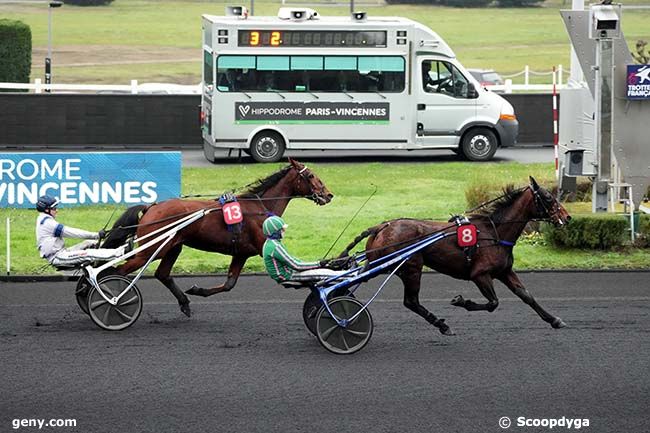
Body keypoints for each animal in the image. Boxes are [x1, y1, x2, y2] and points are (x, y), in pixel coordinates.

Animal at [103, 159, 332, 314]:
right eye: (310, 176)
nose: (328, 194)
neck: (260, 208)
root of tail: (152, 206)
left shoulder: (241, 253)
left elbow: (229, 284)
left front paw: (197, 290)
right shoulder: (263, 246)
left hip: (173, 246)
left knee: (162, 274)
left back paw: (184, 302)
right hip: (152, 248)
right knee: (118, 271)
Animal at [336, 177, 568, 336]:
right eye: (548, 197)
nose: (567, 217)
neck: (495, 233)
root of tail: (383, 226)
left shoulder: (504, 271)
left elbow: (526, 295)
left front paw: (555, 320)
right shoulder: (480, 274)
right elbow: (493, 303)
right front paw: (461, 301)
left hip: (383, 262)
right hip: (410, 267)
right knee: (410, 301)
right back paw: (442, 325)